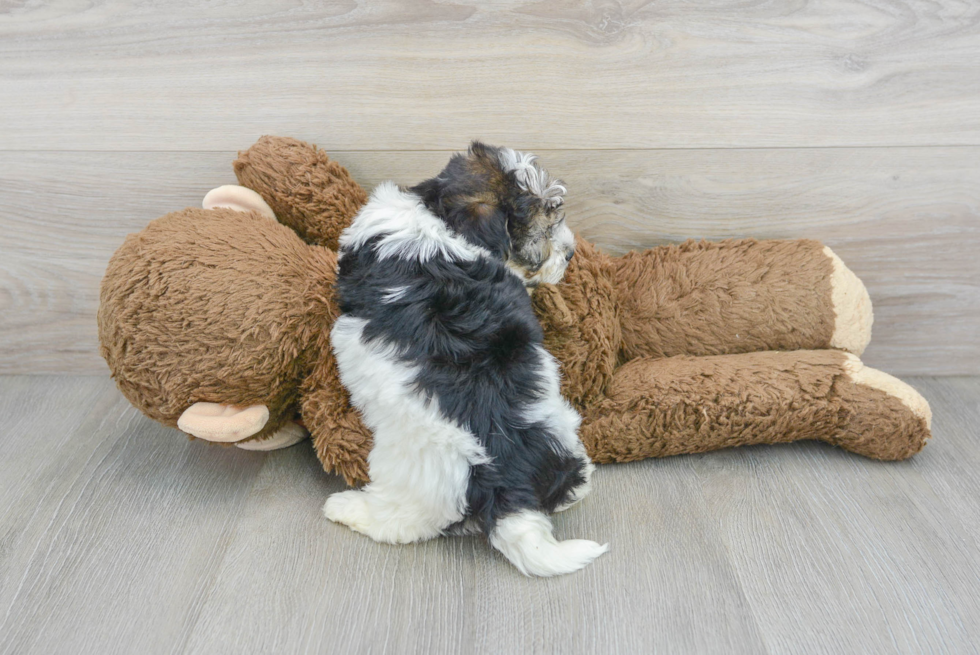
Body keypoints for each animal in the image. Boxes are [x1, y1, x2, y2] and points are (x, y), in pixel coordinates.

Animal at [326, 142, 608, 576]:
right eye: (542, 230)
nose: (571, 254)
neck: (439, 219)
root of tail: (507, 486)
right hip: (562, 429)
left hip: (411, 472)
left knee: (400, 521)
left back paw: (347, 508)